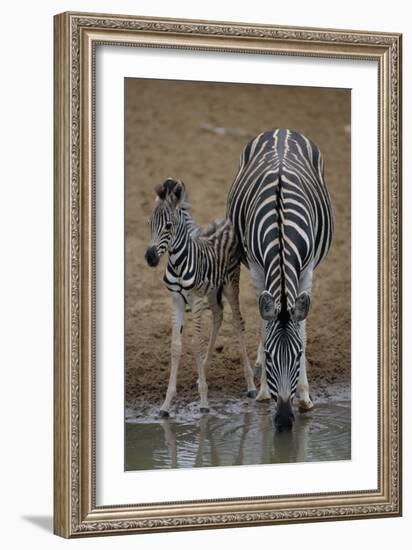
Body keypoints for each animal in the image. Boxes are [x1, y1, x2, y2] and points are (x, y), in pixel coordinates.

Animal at [143, 179, 256, 416]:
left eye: (168, 226)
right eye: (149, 223)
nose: (150, 258)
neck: (178, 264)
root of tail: (225, 220)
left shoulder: (195, 300)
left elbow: (195, 343)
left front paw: (204, 401)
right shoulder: (176, 300)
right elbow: (176, 345)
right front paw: (166, 405)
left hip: (230, 284)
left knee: (237, 322)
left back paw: (251, 385)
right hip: (212, 292)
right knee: (219, 315)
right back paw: (202, 371)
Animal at [227, 128, 334, 432]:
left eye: (298, 356)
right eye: (273, 356)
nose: (285, 421)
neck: (282, 231)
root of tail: (282, 130)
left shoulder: (307, 270)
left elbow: (303, 330)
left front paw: (305, 396)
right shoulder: (256, 268)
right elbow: (265, 326)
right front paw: (263, 390)